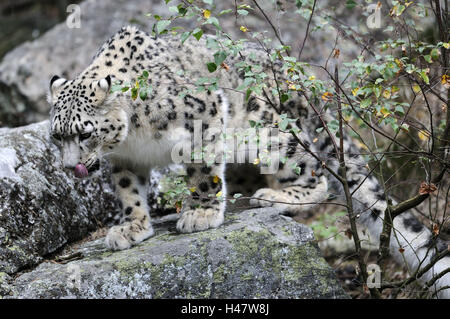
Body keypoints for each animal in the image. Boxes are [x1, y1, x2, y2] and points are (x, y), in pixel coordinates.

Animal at [47, 26, 448, 298]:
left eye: (84, 133)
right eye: (57, 136)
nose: (69, 168)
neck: (134, 136)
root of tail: (299, 75)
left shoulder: (203, 117)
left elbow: (202, 172)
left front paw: (200, 214)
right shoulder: (124, 160)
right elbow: (130, 193)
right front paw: (131, 228)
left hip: (268, 132)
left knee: (314, 173)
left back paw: (275, 197)